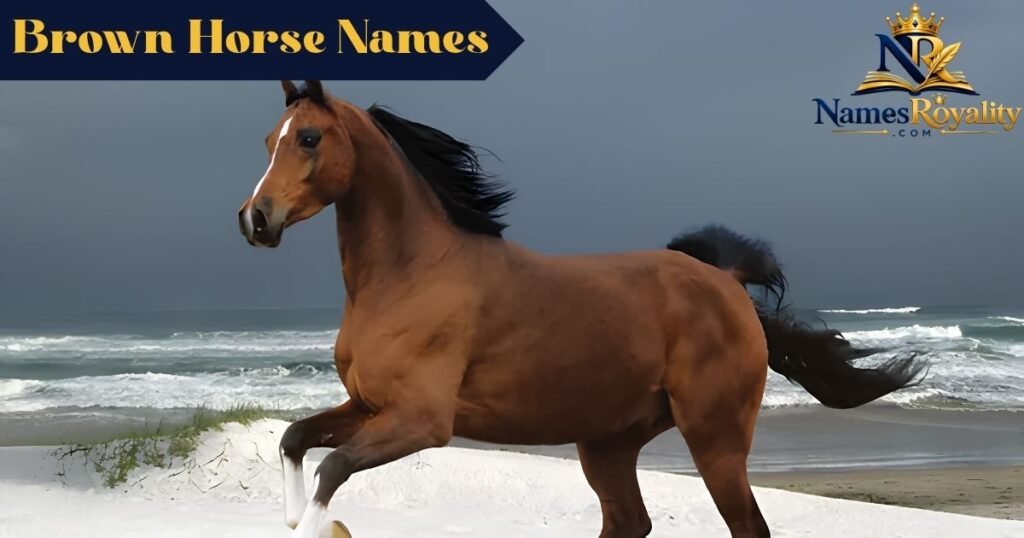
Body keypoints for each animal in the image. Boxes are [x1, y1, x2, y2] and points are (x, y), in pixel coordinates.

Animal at [237, 80, 926, 538]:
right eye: (270, 140)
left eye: (308, 138)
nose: (255, 219)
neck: (411, 275)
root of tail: (725, 282)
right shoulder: (367, 407)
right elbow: (296, 440)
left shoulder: (420, 422)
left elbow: (332, 469)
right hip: (609, 443)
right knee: (631, 522)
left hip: (716, 441)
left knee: (744, 528)